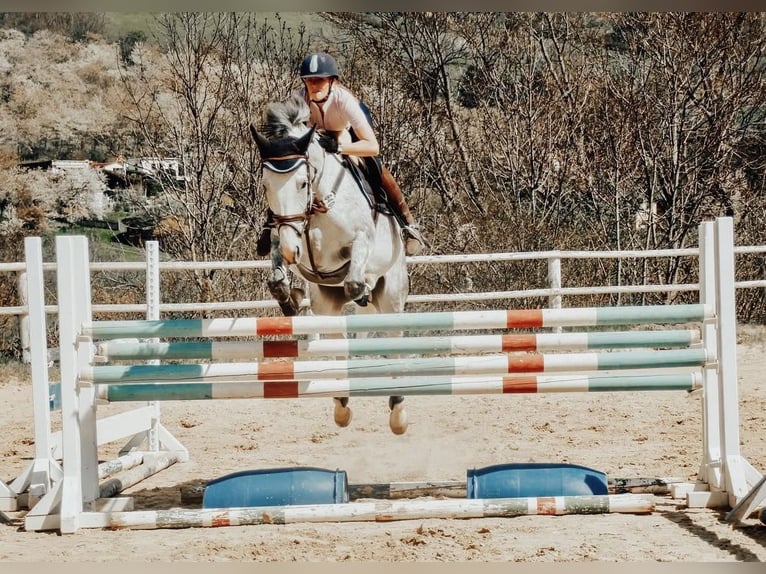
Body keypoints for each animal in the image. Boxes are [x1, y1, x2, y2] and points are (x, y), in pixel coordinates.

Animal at [250, 95, 414, 436]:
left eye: (302, 183)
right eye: (266, 185)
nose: (292, 249)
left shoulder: (361, 239)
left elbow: (353, 274)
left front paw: (359, 288)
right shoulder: (287, 237)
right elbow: (278, 271)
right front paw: (290, 299)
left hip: (392, 295)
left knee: (392, 336)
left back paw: (397, 412)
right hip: (327, 302)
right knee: (339, 339)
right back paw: (341, 402)